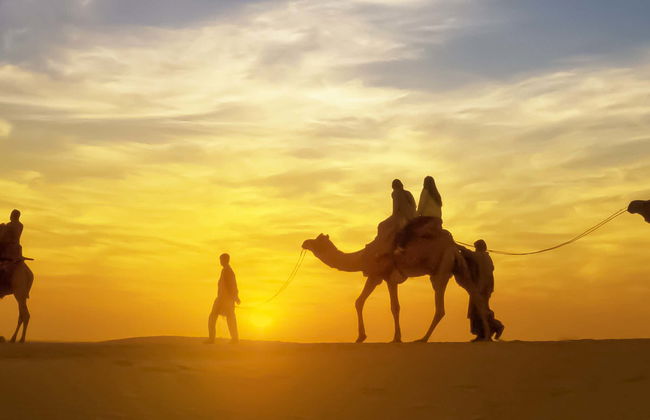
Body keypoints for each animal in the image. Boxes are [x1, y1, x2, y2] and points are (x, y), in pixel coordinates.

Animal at [302, 221, 491, 343]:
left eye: (317, 241)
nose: (304, 242)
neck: (363, 256)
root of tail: (453, 244)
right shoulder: (378, 277)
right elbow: (360, 301)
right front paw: (362, 337)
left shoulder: (383, 276)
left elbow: (393, 306)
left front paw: (395, 338)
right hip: (459, 270)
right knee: (476, 296)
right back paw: (487, 337)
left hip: (441, 269)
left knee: (441, 307)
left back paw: (423, 338)